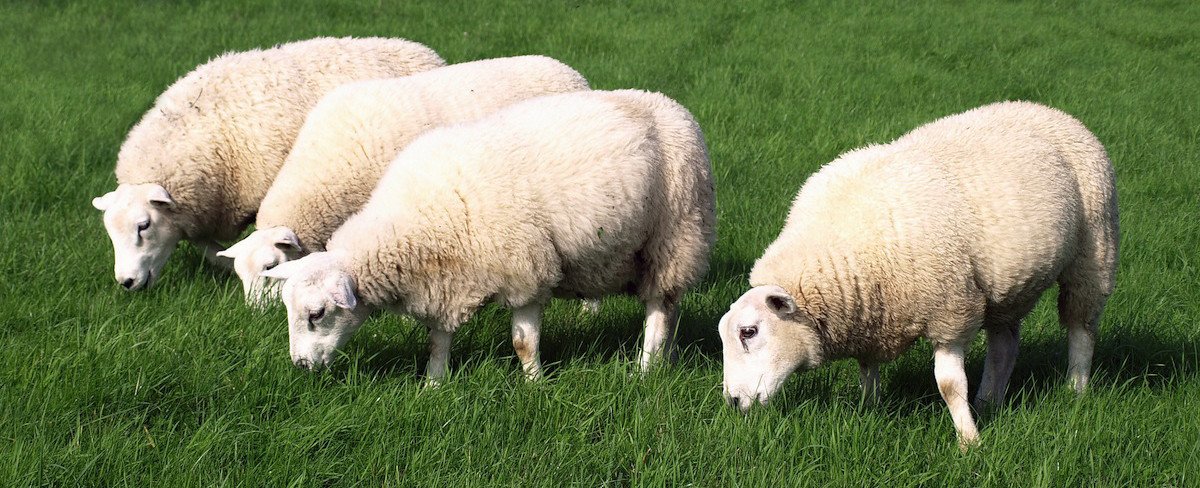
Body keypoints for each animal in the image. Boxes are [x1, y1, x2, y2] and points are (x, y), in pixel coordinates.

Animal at [91, 37, 445, 291]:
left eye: (144, 225)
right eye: (109, 231)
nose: (126, 282)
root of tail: (424, 52)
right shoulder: (200, 211)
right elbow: (209, 248)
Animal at [260, 89, 716, 380]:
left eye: (317, 314)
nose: (300, 367)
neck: (414, 222)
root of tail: (672, 106)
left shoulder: (526, 270)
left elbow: (522, 343)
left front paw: (535, 386)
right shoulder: (444, 279)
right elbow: (437, 340)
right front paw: (433, 385)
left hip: (674, 236)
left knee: (659, 309)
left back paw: (646, 369)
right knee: (672, 308)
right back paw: (668, 357)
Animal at [718, 101, 1118, 449]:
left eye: (749, 332)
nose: (733, 402)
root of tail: (1048, 109)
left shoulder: (950, 311)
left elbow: (949, 385)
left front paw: (969, 443)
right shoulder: (870, 314)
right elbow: (867, 370)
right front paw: (869, 409)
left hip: (1095, 251)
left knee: (1081, 327)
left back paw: (1075, 390)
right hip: (1008, 285)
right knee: (1005, 343)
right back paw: (990, 400)